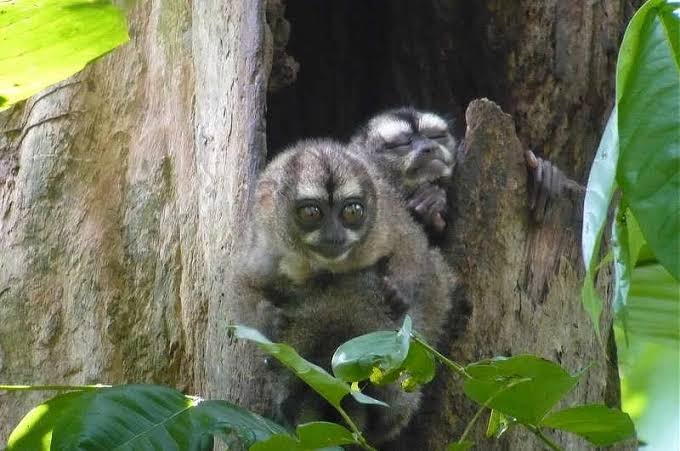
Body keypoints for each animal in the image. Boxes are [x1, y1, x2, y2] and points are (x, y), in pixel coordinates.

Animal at [231, 138, 456, 445]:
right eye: (311, 213)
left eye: (351, 212)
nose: (334, 236)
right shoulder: (268, 246)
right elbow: (246, 282)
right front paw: (269, 323)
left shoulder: (383, 227)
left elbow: (414, 248)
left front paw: (399, 291)